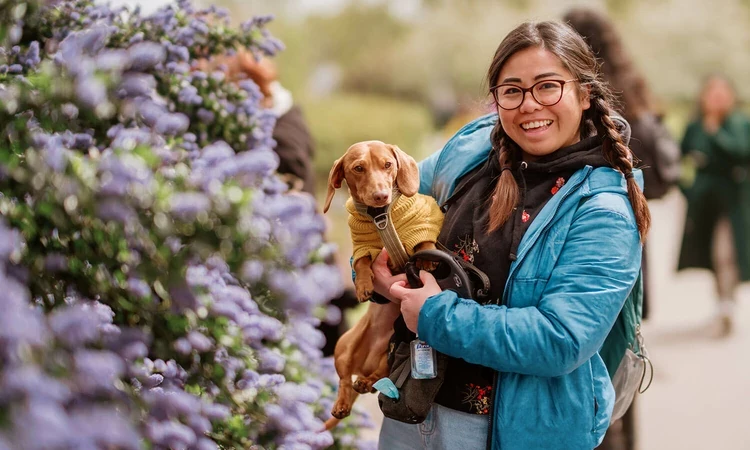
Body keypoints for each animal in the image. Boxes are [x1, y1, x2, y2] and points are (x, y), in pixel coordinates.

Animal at [320, 141, 444, 428]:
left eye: (388, 164)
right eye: (358, 168)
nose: (380, 196)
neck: (382, 217)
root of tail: (365, 364)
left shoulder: (424, 220)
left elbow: (425, 239)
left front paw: (427, 257)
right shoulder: (362, 245)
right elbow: (362, 263)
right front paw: (364, 285)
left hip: (392, 347)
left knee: (378, 375)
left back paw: (366, 383)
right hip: (343, 346)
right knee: (345, 380)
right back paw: (343, 403)